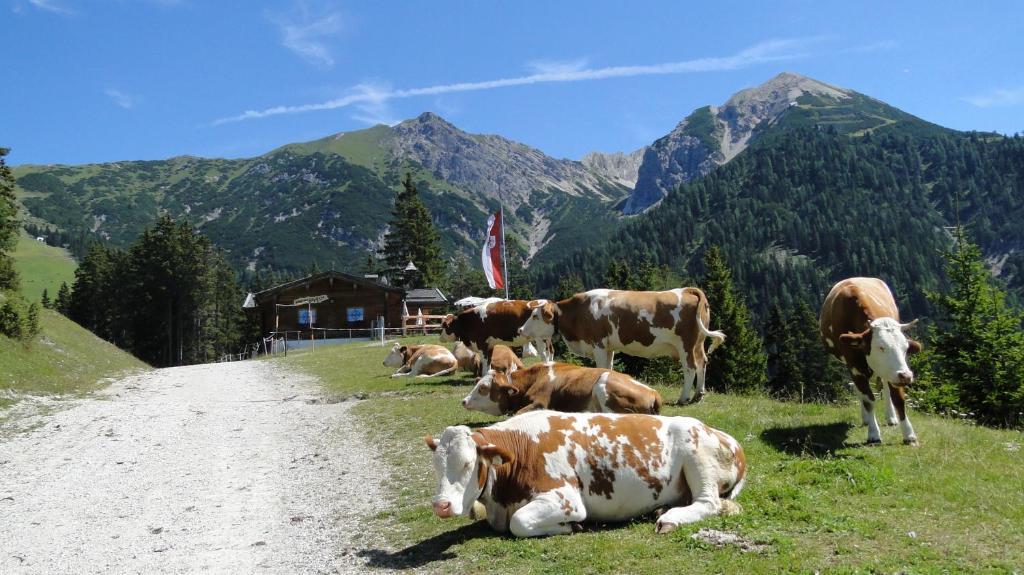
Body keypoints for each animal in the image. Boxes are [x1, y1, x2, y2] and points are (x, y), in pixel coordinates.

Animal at [423, 409, 745, 536]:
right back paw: (662, 510)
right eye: (436, 465)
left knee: (709, 503)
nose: (441, 506)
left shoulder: (566, 499)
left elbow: (519, 522)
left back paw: (670, 519)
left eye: (468, 464)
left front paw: (570, 527)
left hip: (697, 456)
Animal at [520, 286, 729, 403]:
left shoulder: (598, 344)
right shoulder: (609, 347)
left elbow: (601, 367)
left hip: (686, 344)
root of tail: (687, 290)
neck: (578, 313)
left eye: (535, 316)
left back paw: (684, 398)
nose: (521, 330)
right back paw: (698, 395)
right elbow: (609, 367)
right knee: (702, 363)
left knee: (690, 368)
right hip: (698, 343)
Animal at [819, 278, 925, 444]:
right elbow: (868, 400)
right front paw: (874, 433)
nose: (906, 376)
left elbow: (899, 399)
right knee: (860, 392)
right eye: (880, 347)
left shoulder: (895, 372)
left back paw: (891, 418)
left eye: (905, 347)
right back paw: (866, 419)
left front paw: (909, 434)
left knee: (886, 387)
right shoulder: (855, 367)